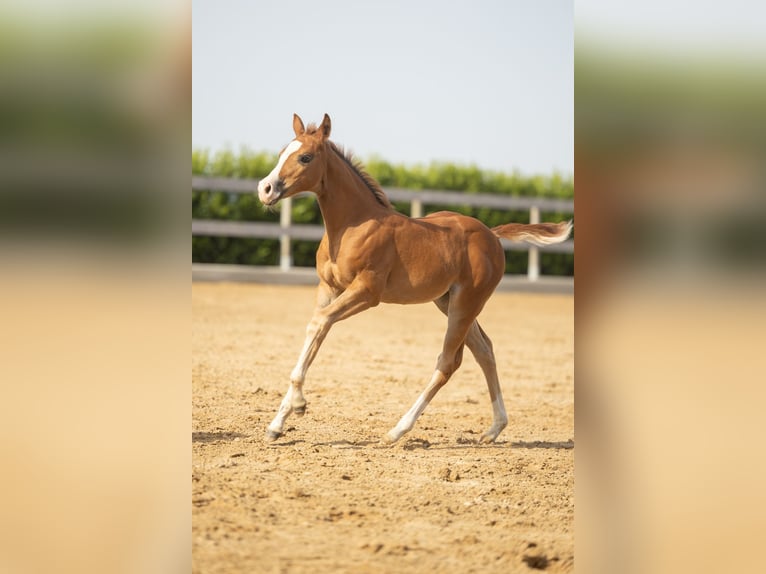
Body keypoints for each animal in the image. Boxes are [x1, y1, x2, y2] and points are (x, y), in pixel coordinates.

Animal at [257, 113, 572, 444]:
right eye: (281, 153)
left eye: (305, 157)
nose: (265, 189)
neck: (353, 225)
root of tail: (492, 234)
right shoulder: (328, 288)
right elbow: (316, 331)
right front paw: (277, 424)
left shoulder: (367, 292)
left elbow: (318, 323)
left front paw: (299, 405)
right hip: (448, 301)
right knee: (484, 350)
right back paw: (494, 428)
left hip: (466, 303)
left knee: (448, 362)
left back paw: (397, 430)